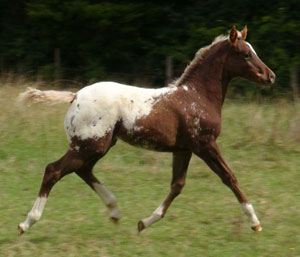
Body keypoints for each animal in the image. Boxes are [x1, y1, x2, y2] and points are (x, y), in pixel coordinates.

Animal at [17, 26, 276, 234]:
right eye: (245, 54)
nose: (270, 76)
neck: (197, 96)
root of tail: (75, 96)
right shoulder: (205, 144)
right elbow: (229, 177)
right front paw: (255, 222)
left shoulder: (183, 149)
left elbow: (177, 185)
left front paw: (144, 222)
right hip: (90, 144)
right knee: (54, 170)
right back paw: (26, 223)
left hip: (97, 145)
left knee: (83, 170)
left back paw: (114, 211)